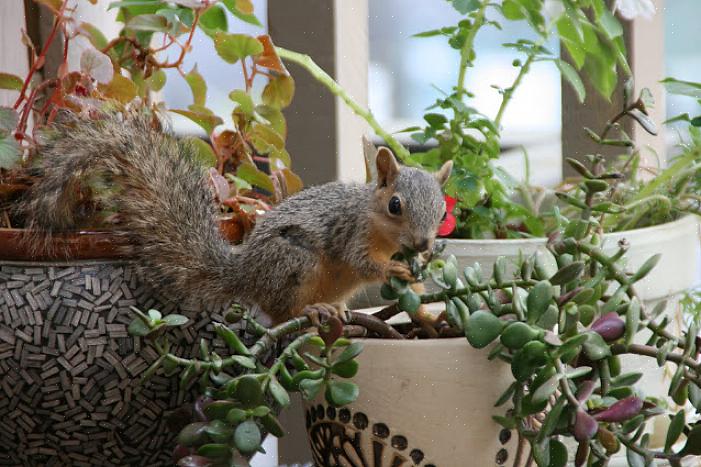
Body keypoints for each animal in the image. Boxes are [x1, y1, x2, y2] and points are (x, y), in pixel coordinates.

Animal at [21, 113, 452, 326]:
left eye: (443, 210)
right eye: (395, 205)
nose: (423, 244)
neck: (381, 230)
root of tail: (245, 272)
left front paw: (426, 301)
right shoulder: (350, 232)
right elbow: (361, 262)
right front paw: (392, 270)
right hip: (294, 262)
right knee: (279, 312)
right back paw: (310, 312)